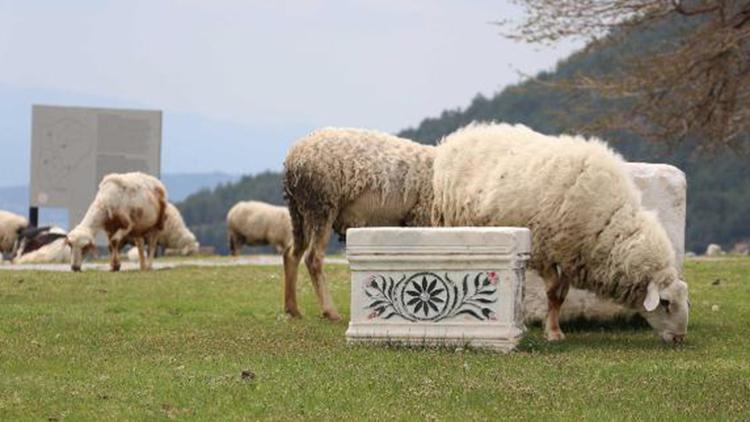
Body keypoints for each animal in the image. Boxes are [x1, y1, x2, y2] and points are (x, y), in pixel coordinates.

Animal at [284, 128, 438, 320]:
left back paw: (292, 309)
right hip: (321, 206)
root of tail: (294, 158)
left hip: (299, 212)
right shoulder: (422, 217)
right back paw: (330, 311)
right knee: (313, 257)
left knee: (292, 253)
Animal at [432, 122, 692, 342]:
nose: (679, 338)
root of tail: (460, 135)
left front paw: (553, 328)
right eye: (665, 302)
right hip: (450, 219)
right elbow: (553, 294)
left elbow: (562, 295)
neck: (609, 220)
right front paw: (553, 332)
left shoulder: (571, 254)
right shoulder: (546, 250)